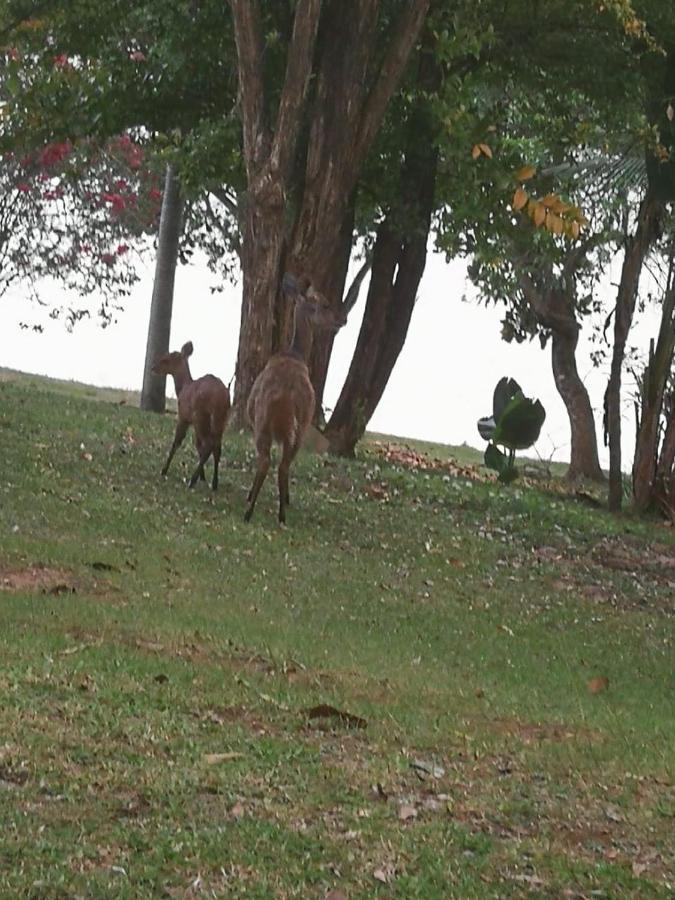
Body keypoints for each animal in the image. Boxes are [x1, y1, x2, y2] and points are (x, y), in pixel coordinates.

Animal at [152, 340, 231, 492]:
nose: (153, 367)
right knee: (216, 447)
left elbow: (177, 442)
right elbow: (197, 446)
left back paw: (192, 481)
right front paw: (203, 477)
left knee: (209, 444)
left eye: (166, 359)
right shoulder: (192, 421)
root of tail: (221, 396)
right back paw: (214, 483)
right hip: (221, 419)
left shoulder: (184, 416)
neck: (182, 388)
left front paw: (164, 470)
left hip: (201, 415)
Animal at [244, 276, 348, 528]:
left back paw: (260, 510)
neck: (295, 354)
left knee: (271, 462)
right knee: (279, 464)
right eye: (325, 303)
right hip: (295, 425)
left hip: (267, 423)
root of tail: (284, 398)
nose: (342, 319)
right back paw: (274, 510)